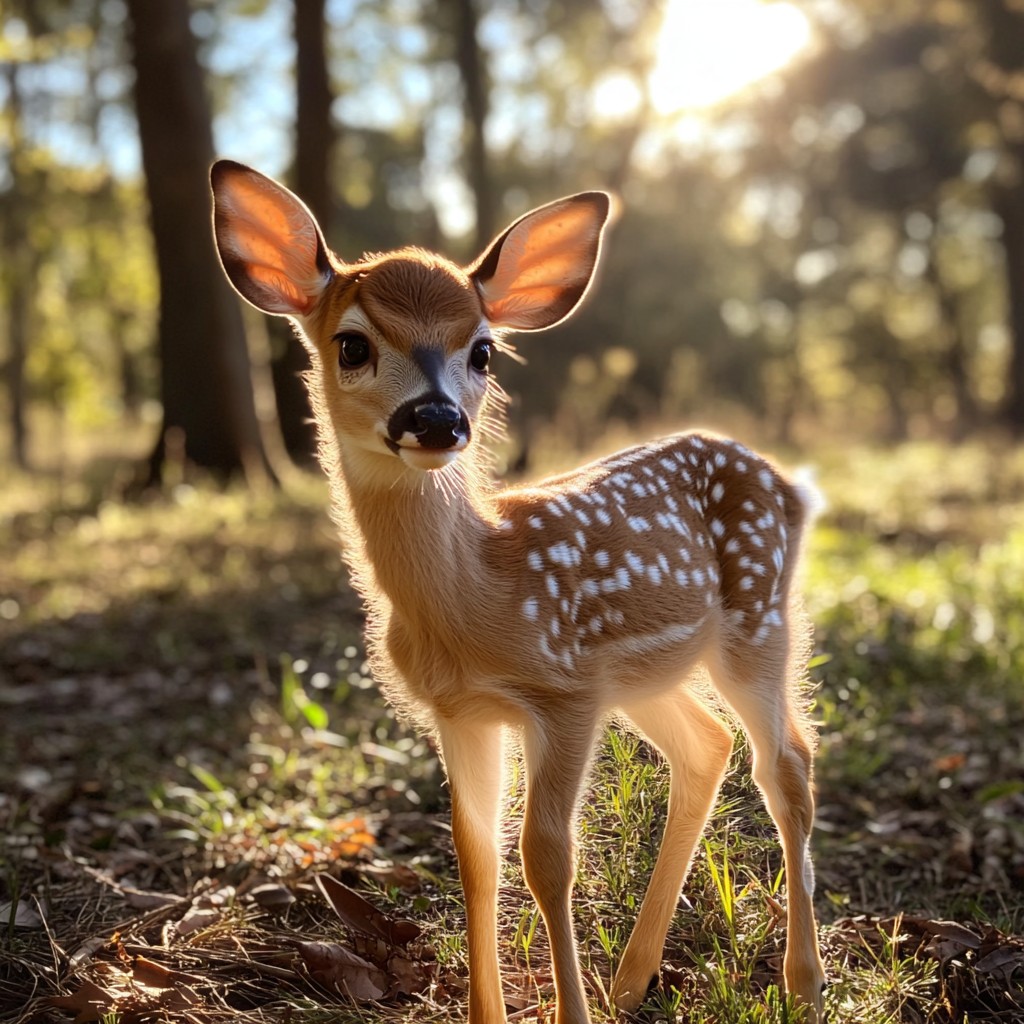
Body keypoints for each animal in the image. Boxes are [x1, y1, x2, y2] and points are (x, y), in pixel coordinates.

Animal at [210, 160, 827, 1024]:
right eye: (352, 344)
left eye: (483, 352)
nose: (436, 420)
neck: (476, 594)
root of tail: (790, 487)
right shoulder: (463, 710)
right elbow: (477, 855)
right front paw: (489, 1012)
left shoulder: (562, 693)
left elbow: (546, 858)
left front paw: (568, 1011)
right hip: (645, 677)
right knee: (708, 746)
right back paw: (632, 979)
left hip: (757, 618)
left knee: (788, 766)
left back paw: (802, 979)